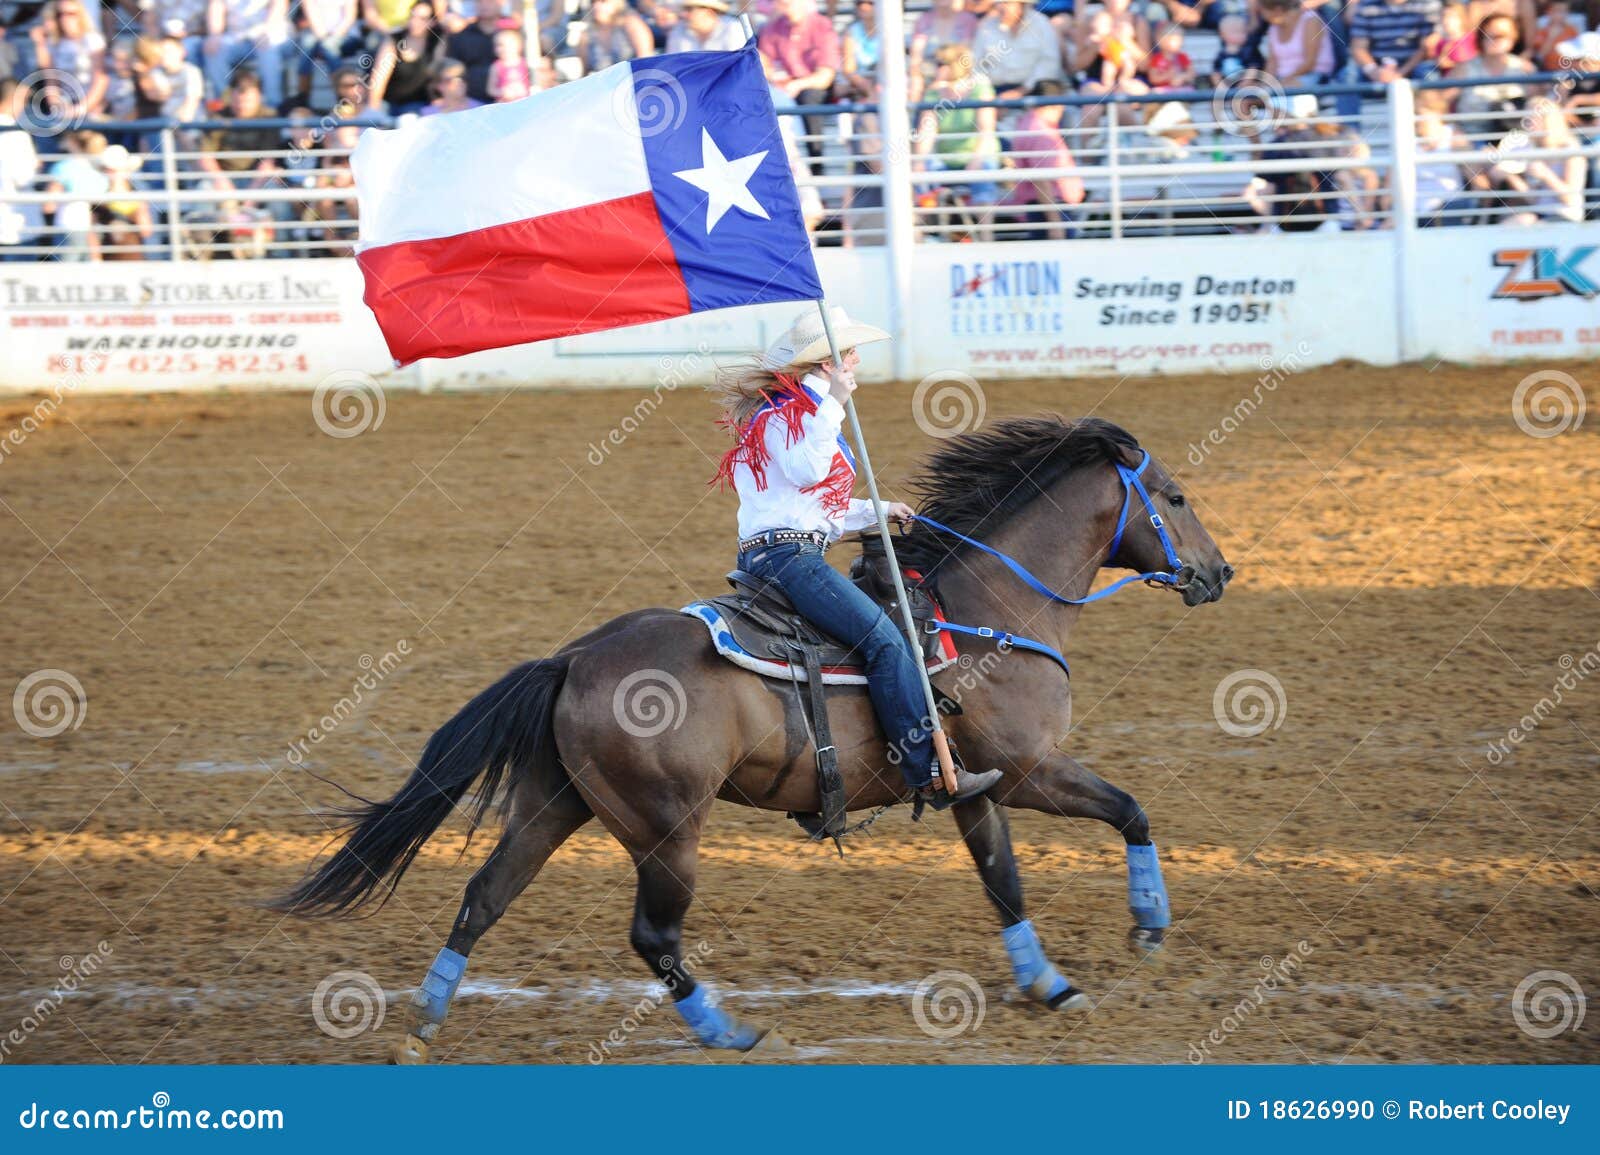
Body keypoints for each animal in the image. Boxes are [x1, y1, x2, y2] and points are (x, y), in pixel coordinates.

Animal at [275, 412, 1228, 1062]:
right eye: (1176, 496)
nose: (1219, 572)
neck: (986, 610)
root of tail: (574, 656)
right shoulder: (1028, 769)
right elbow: (1130, 810)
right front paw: (1148, 927)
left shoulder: (972, 786)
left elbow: (1005, 883)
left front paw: (1049, 984)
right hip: (666, 828)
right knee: (653, 937)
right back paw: (730, 1031)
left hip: (556, 805)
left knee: (483, 895)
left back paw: (422, 1026)